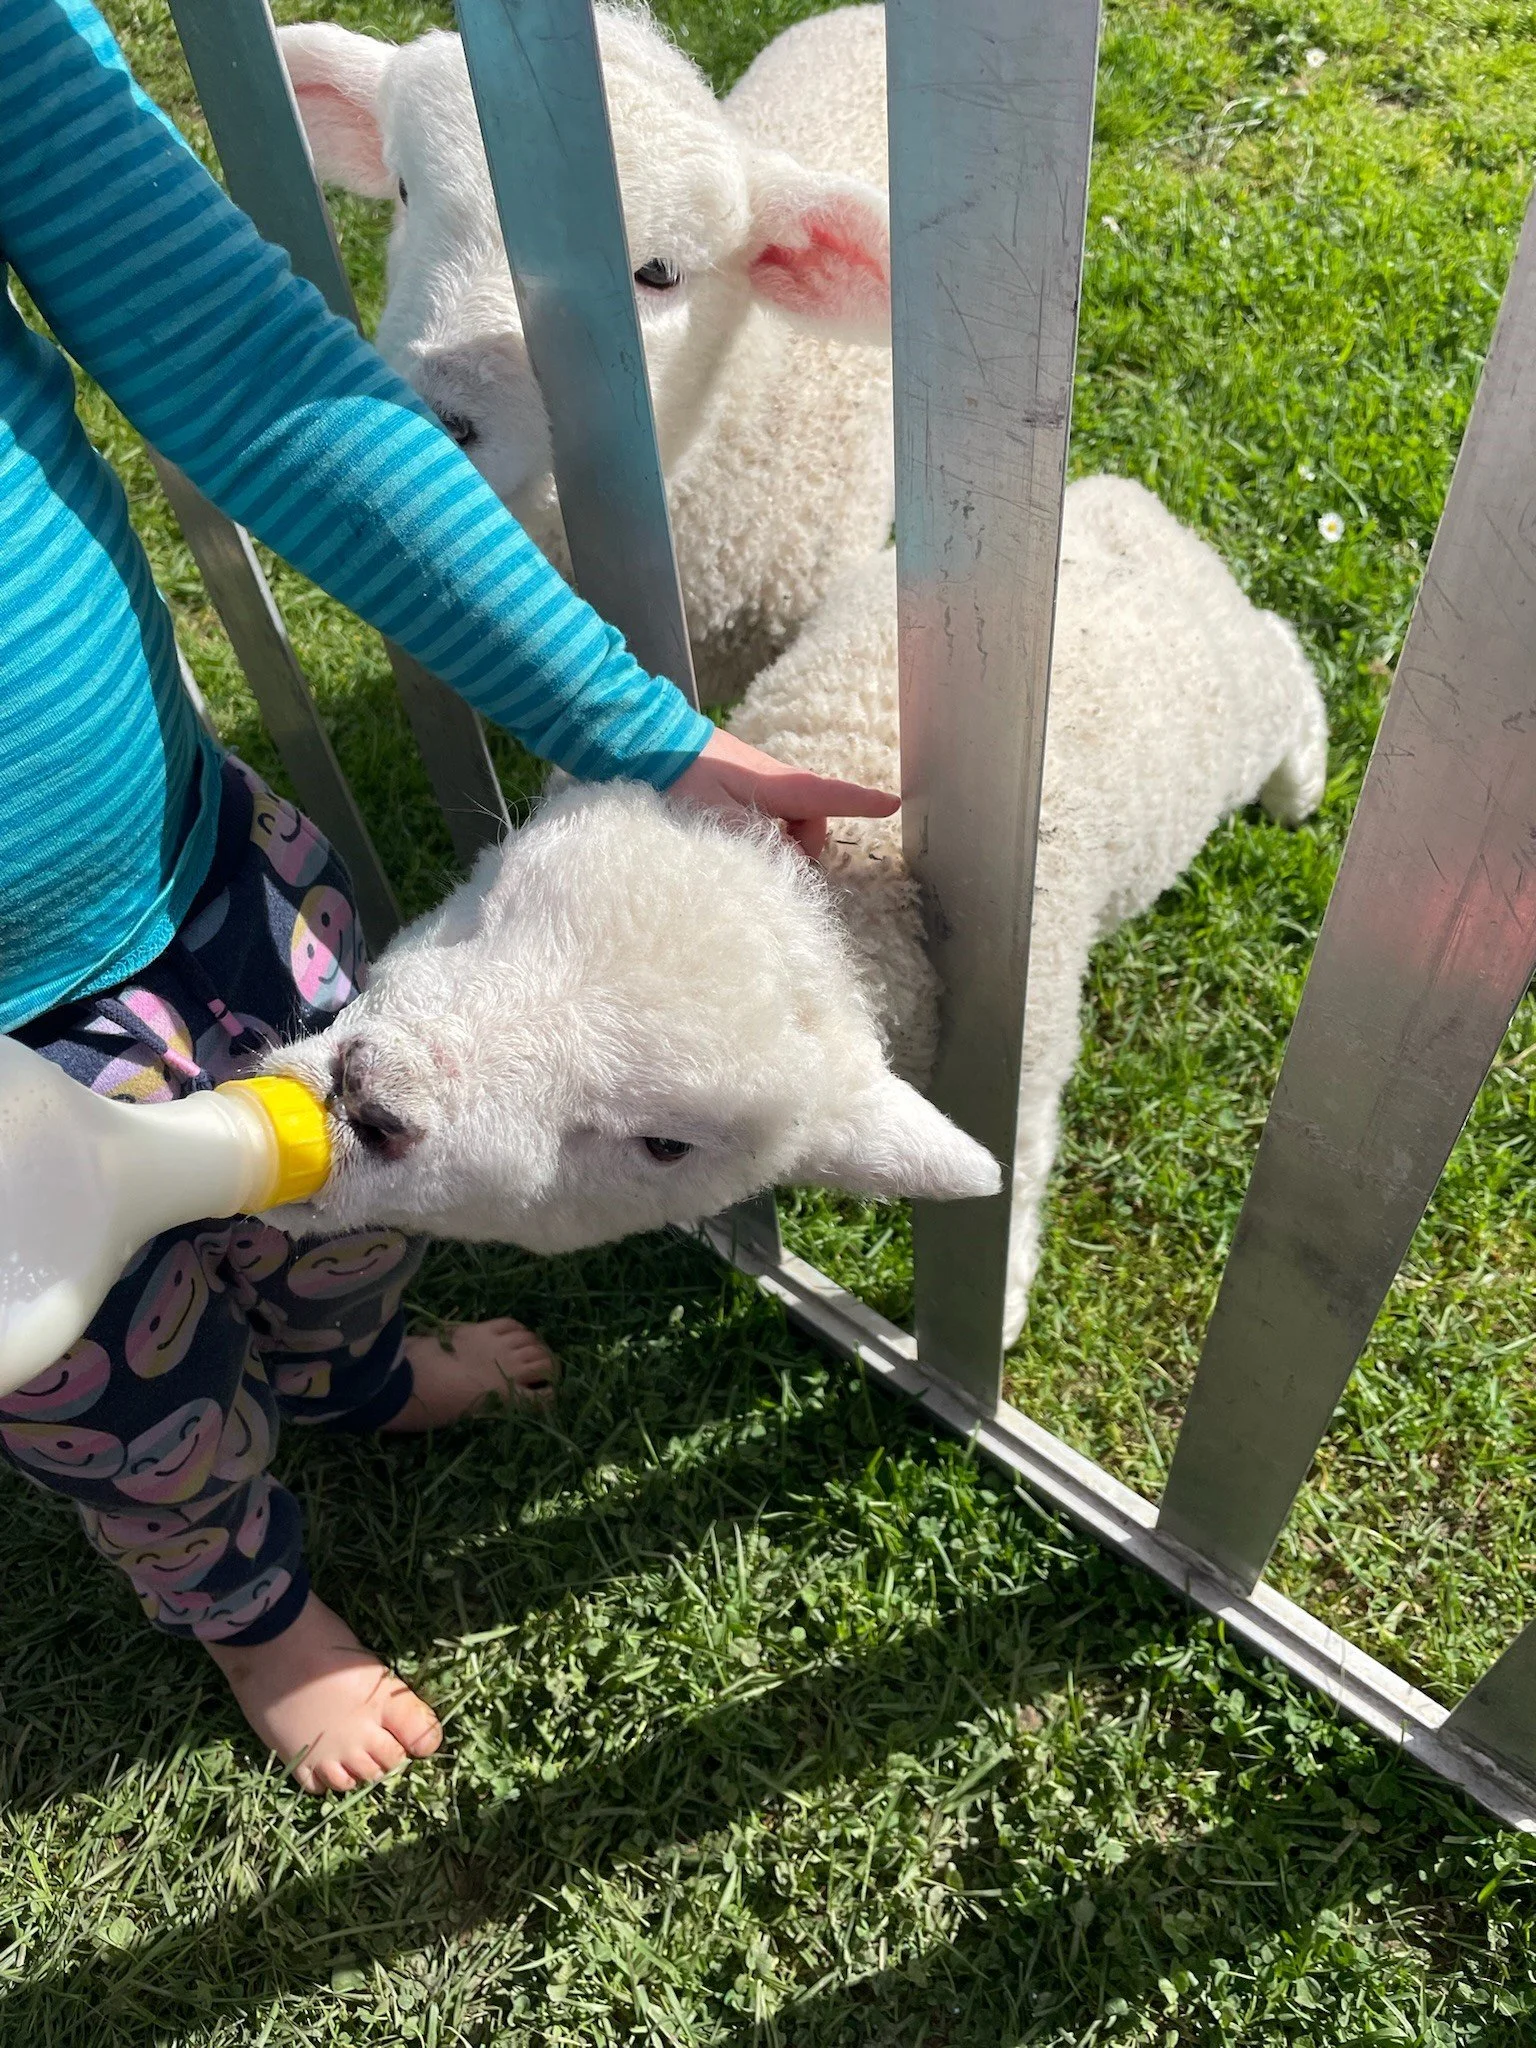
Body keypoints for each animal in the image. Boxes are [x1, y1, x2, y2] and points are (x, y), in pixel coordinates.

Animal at [725, 477, 1330, 1343]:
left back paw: (1300, 787)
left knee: (1283, 653)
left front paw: (1002, 1305)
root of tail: (1120, 496)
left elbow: (1010, 1176)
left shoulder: (1024, 1059)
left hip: (1236, 712)